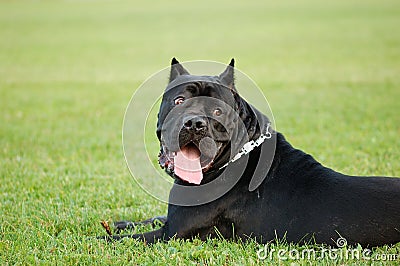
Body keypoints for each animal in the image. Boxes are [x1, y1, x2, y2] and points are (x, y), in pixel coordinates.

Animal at [106, 58, 400, 247]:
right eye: (179, 101)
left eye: (218, 111)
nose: (194, 123)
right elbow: (150, 218)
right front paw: (120, 223)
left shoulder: (173, 232)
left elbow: (124, 241)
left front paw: (106, 236)